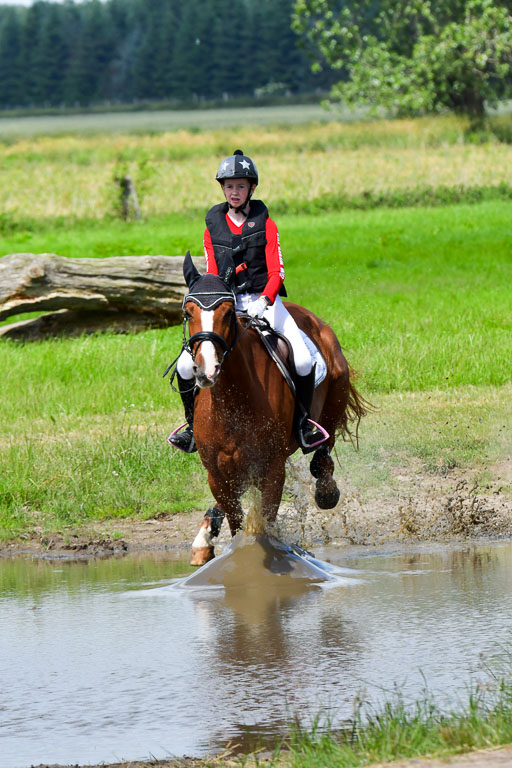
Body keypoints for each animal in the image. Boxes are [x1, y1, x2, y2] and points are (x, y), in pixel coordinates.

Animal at [172, 253, 368, 566]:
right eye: (188, 313)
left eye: (228, 312)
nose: (206, 370)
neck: (233, 402)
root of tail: (317, 322)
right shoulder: (217, 473)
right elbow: (236, 521)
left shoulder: (272, 469)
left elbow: (266, 520)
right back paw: (203, 539)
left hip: (334, 395)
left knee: (323, 453)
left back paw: (326, 489)